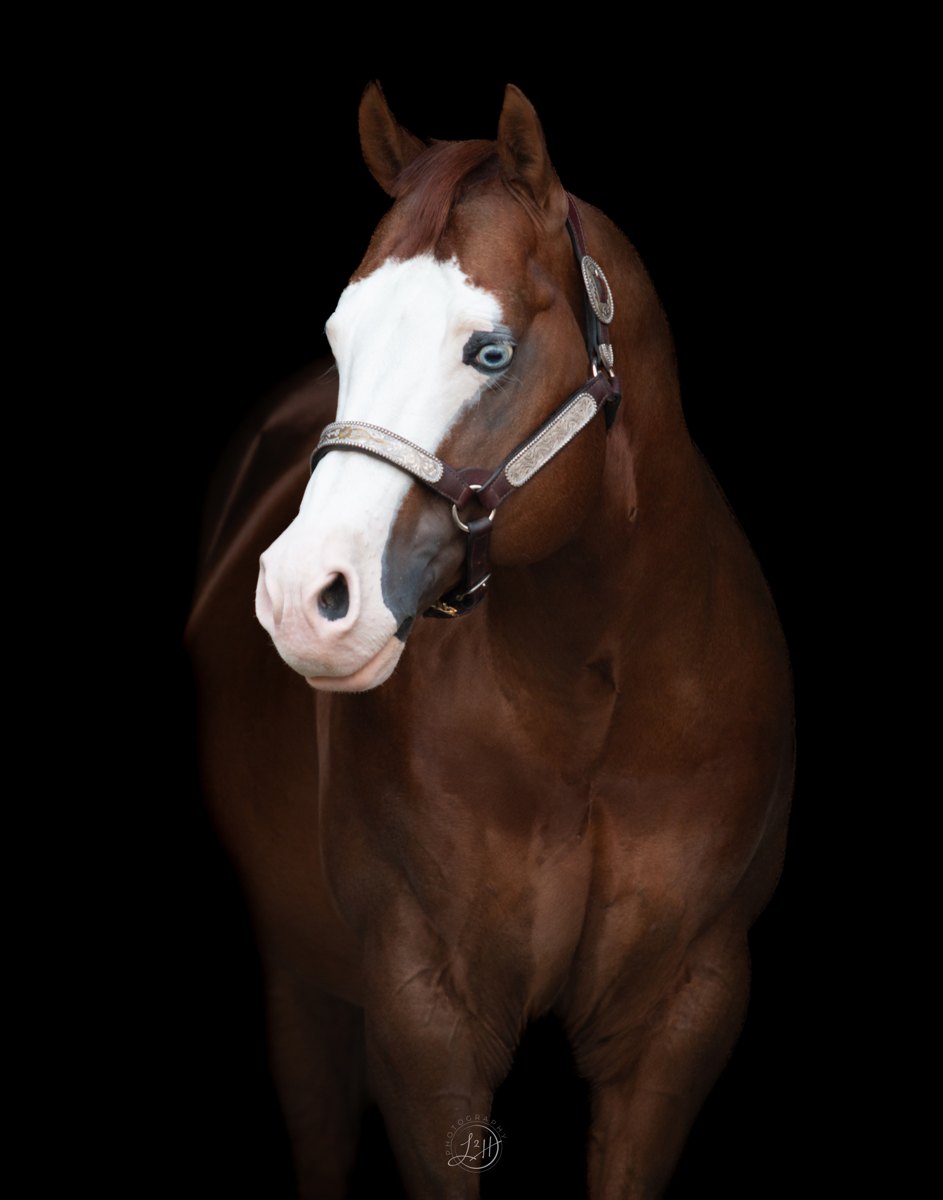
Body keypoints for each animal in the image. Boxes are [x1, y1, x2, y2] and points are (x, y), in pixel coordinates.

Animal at [186, 82, 794, 1199]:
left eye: (490, 351)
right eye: (340, 337)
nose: (301, 596)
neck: (594, 695)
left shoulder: (680, 1017)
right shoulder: (425, 1018)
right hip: (300, 979)